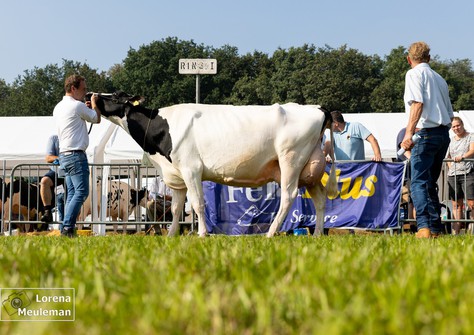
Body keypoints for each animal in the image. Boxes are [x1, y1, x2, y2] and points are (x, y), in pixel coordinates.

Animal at [91, 92, 336, 238]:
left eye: (115, 96)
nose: (92, 95)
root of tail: (317, 108)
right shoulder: (177, 176)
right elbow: (176, 208)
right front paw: (171, 236)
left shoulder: (191, 169)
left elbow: (198, 204)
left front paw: (202, 234)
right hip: (309, 168)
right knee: (320, 198)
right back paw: (317, 234)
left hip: (291, 160)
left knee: (288, 195)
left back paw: (270, 233)